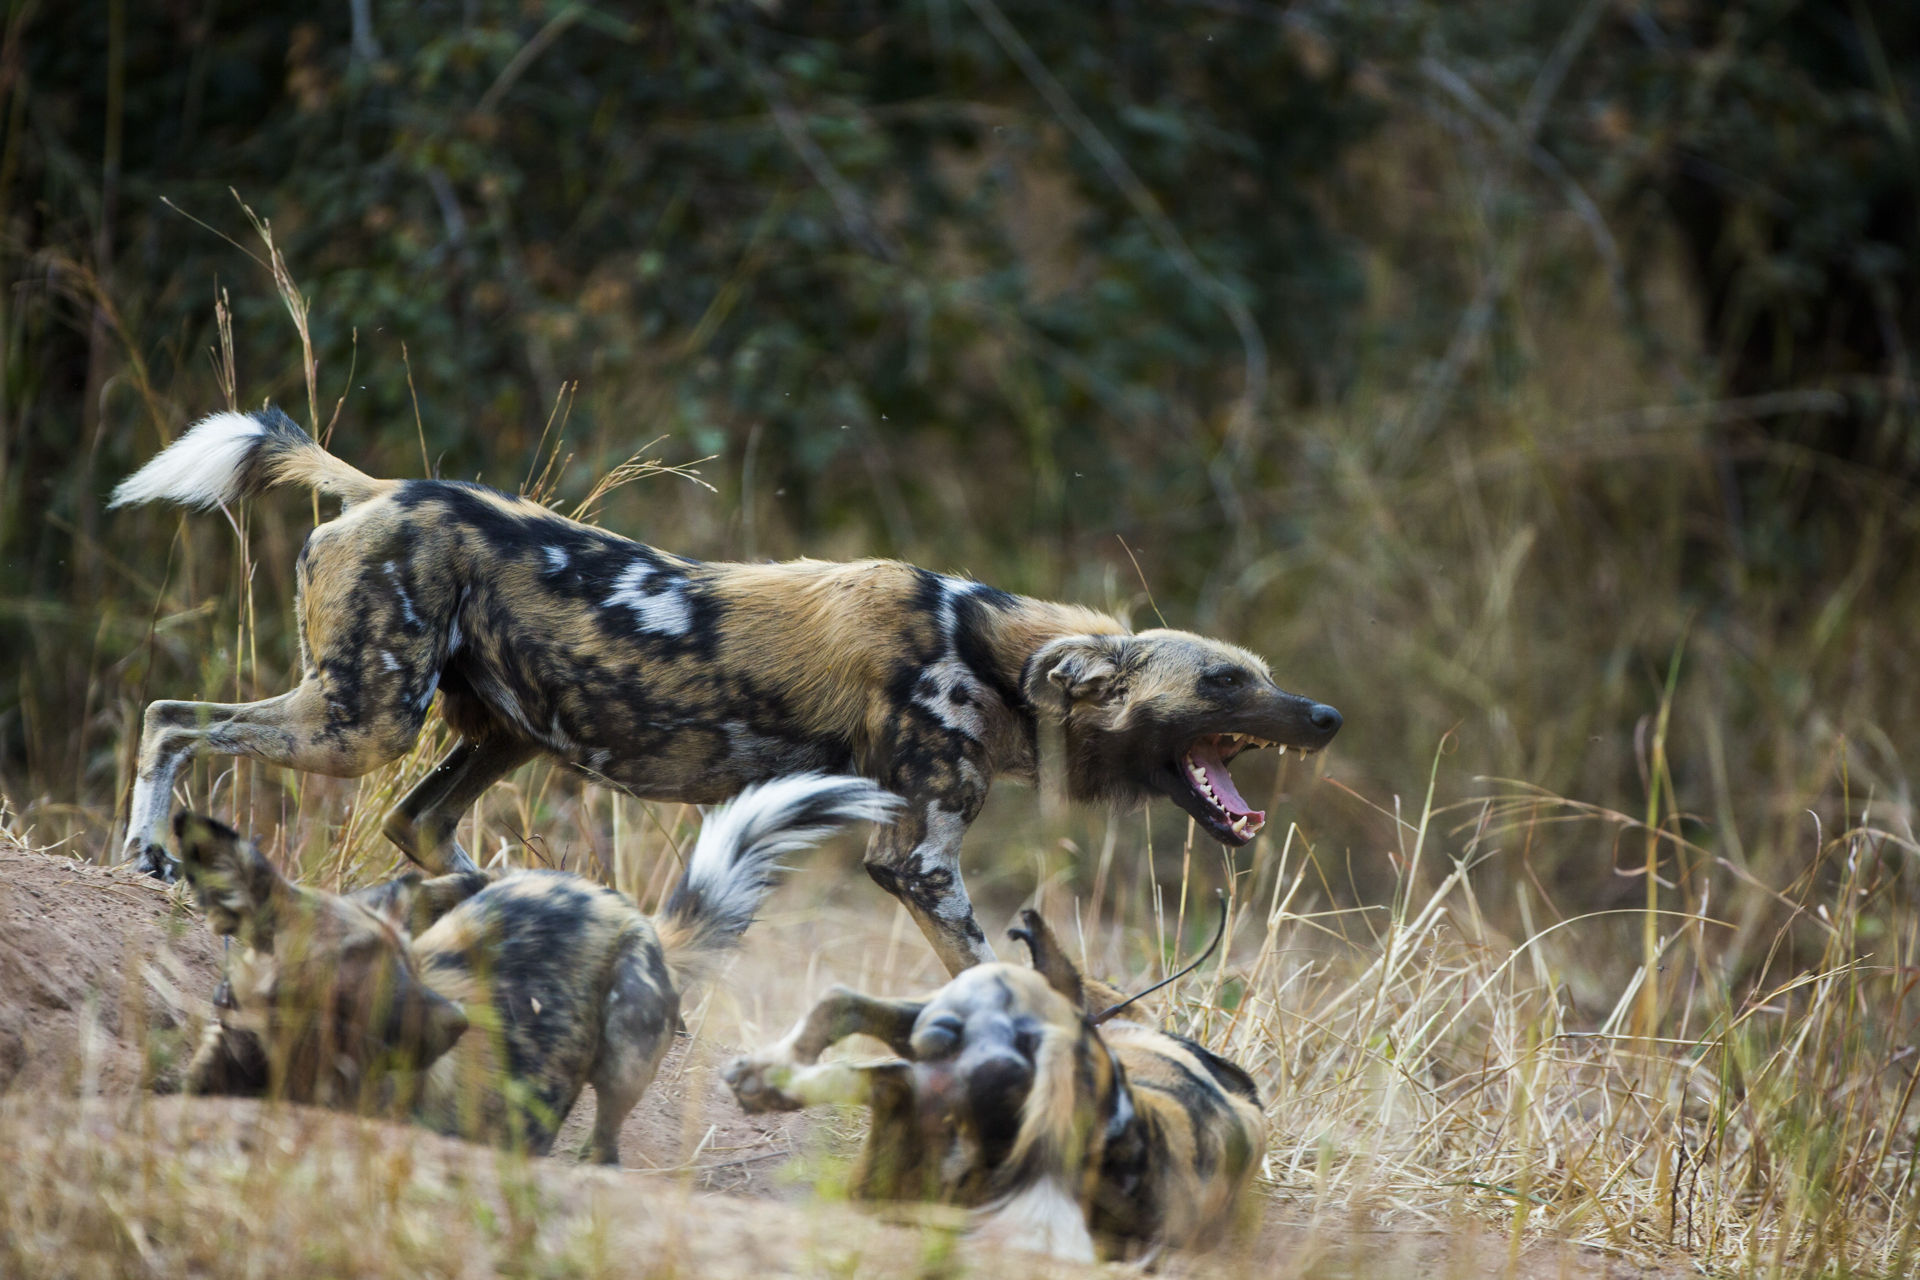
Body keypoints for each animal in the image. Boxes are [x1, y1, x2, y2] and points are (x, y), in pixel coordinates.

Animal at [112, 404, 1344, 974]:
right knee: (173, 717)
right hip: (361, 720)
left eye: (1265, 676)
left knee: (421, 827)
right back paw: (147, 853)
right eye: (1224, 680)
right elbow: (980, 966)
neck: (988, 647)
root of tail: (383, 488)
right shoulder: (919, 859)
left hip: (500, 734)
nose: (1328, 716)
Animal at [172, 767, 890, 1166]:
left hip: (626, 1044)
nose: (456, 1021)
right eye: (358, 959)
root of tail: (620, 902)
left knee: (605, 1145)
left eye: (406, 962)